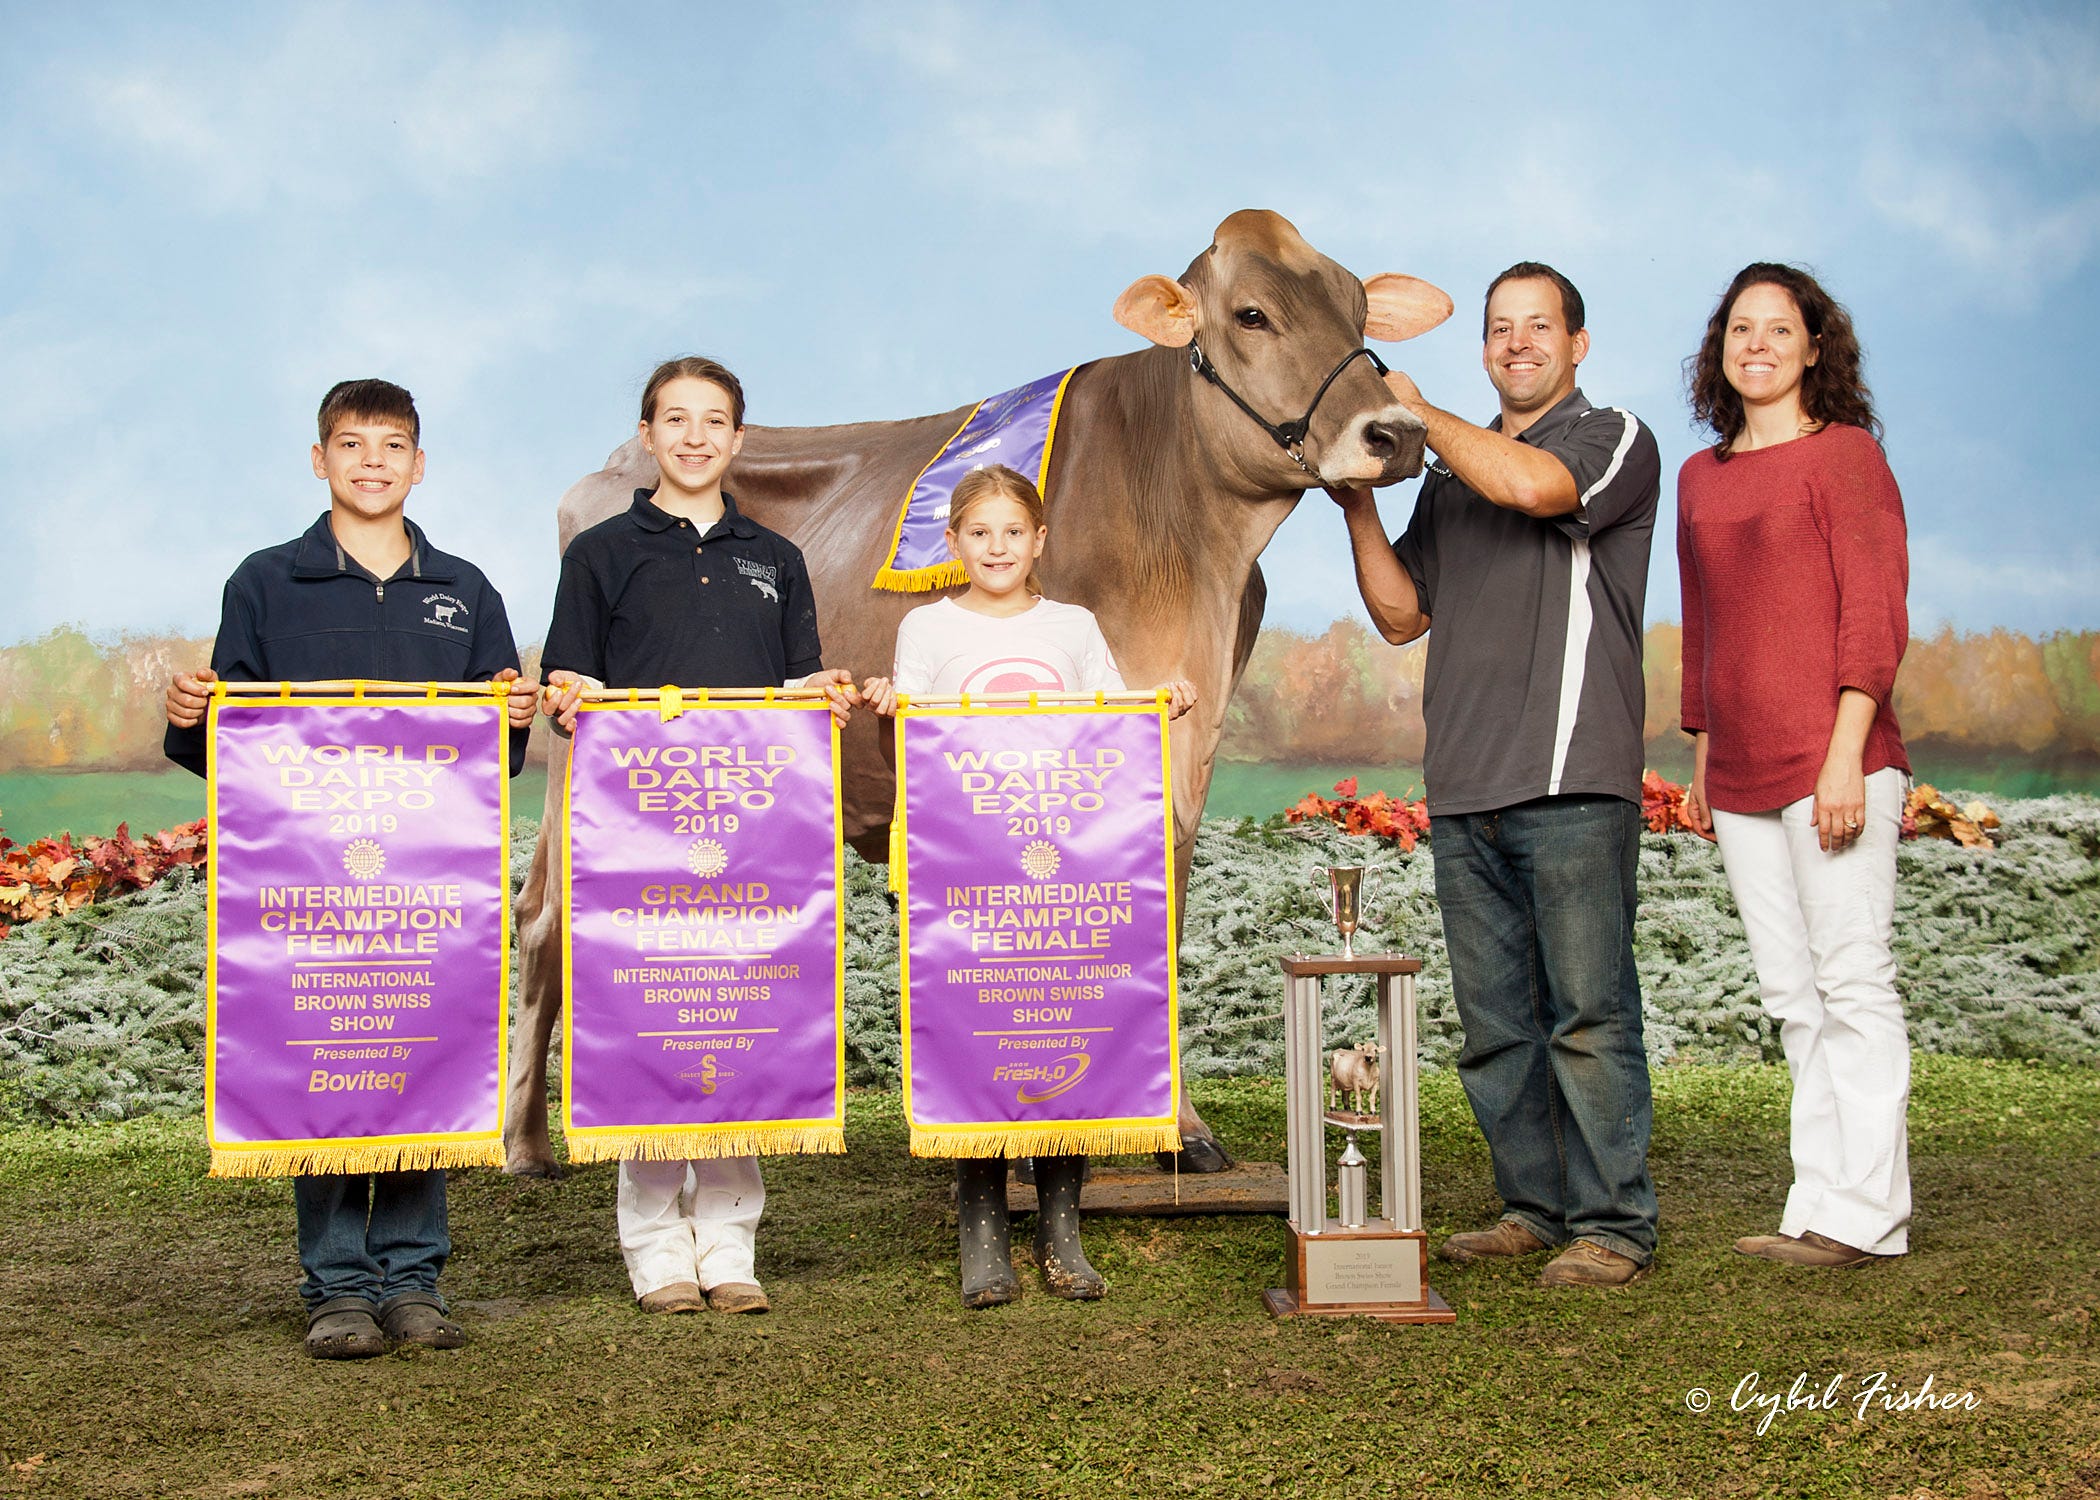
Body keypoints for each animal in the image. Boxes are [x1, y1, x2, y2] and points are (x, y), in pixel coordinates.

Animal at [501, 210, 1453, 1168]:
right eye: (1251, 314)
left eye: (1358, 306)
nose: (1397, 433)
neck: (1193, 551)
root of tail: (614, 463)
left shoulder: (1192, 744)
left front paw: (1176, 1129)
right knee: (546, 920)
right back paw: (529, 1142)